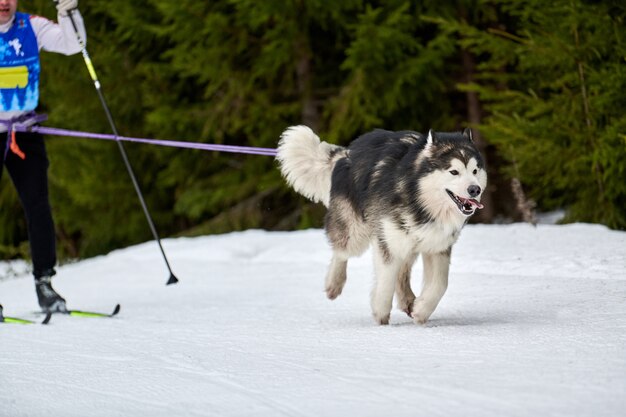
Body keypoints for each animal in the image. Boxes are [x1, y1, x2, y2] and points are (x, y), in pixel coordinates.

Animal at [276, 125, 486, 324]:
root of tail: (349, 151)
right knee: (341, 251)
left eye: (475, 171)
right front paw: (381, 314)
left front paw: (421, 311)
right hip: (357, 234)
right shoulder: (388, 241)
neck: (420, 201)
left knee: (402, 272)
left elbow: (440, 284)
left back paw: (408, 300)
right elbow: (386, 280)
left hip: (407, 242)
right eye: (454, 172)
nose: (475, 189)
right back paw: (334, 283)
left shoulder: (438, 245)